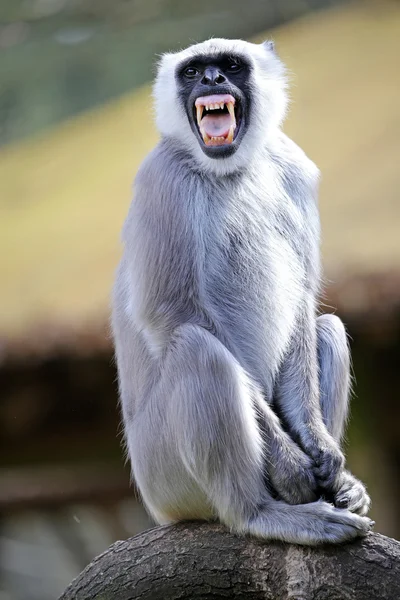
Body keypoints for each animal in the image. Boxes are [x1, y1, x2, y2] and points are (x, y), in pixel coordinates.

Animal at [111, 36, 372, 544]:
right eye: (194, 72)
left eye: (230, 66)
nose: (213, 80)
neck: (228, 169)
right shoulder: (162, 178)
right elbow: (170, 315)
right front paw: (291, 466)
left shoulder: (292, 165)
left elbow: (303, 301)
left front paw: (321, 450)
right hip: (165, 476)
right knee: (196, 347)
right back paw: (261, 512)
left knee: (328, 327)